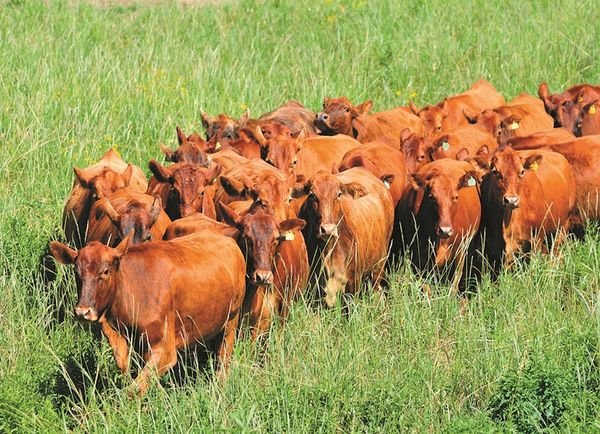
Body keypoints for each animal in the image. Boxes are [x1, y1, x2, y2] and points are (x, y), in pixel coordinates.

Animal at [47, 231, 246, 396]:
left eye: (105, 271)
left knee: (224, 355)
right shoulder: (120, 337)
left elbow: (134, 389)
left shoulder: (164, 348)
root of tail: (227, 240)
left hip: (231, 321)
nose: (83, 312)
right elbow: (128, 371)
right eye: (76, 271)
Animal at [396, 158, 480, 294]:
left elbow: (454, 285)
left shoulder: (460, 251)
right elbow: (426, 288)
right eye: (431, 197)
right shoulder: (417, 256)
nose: (445, 230)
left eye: (456, 197)